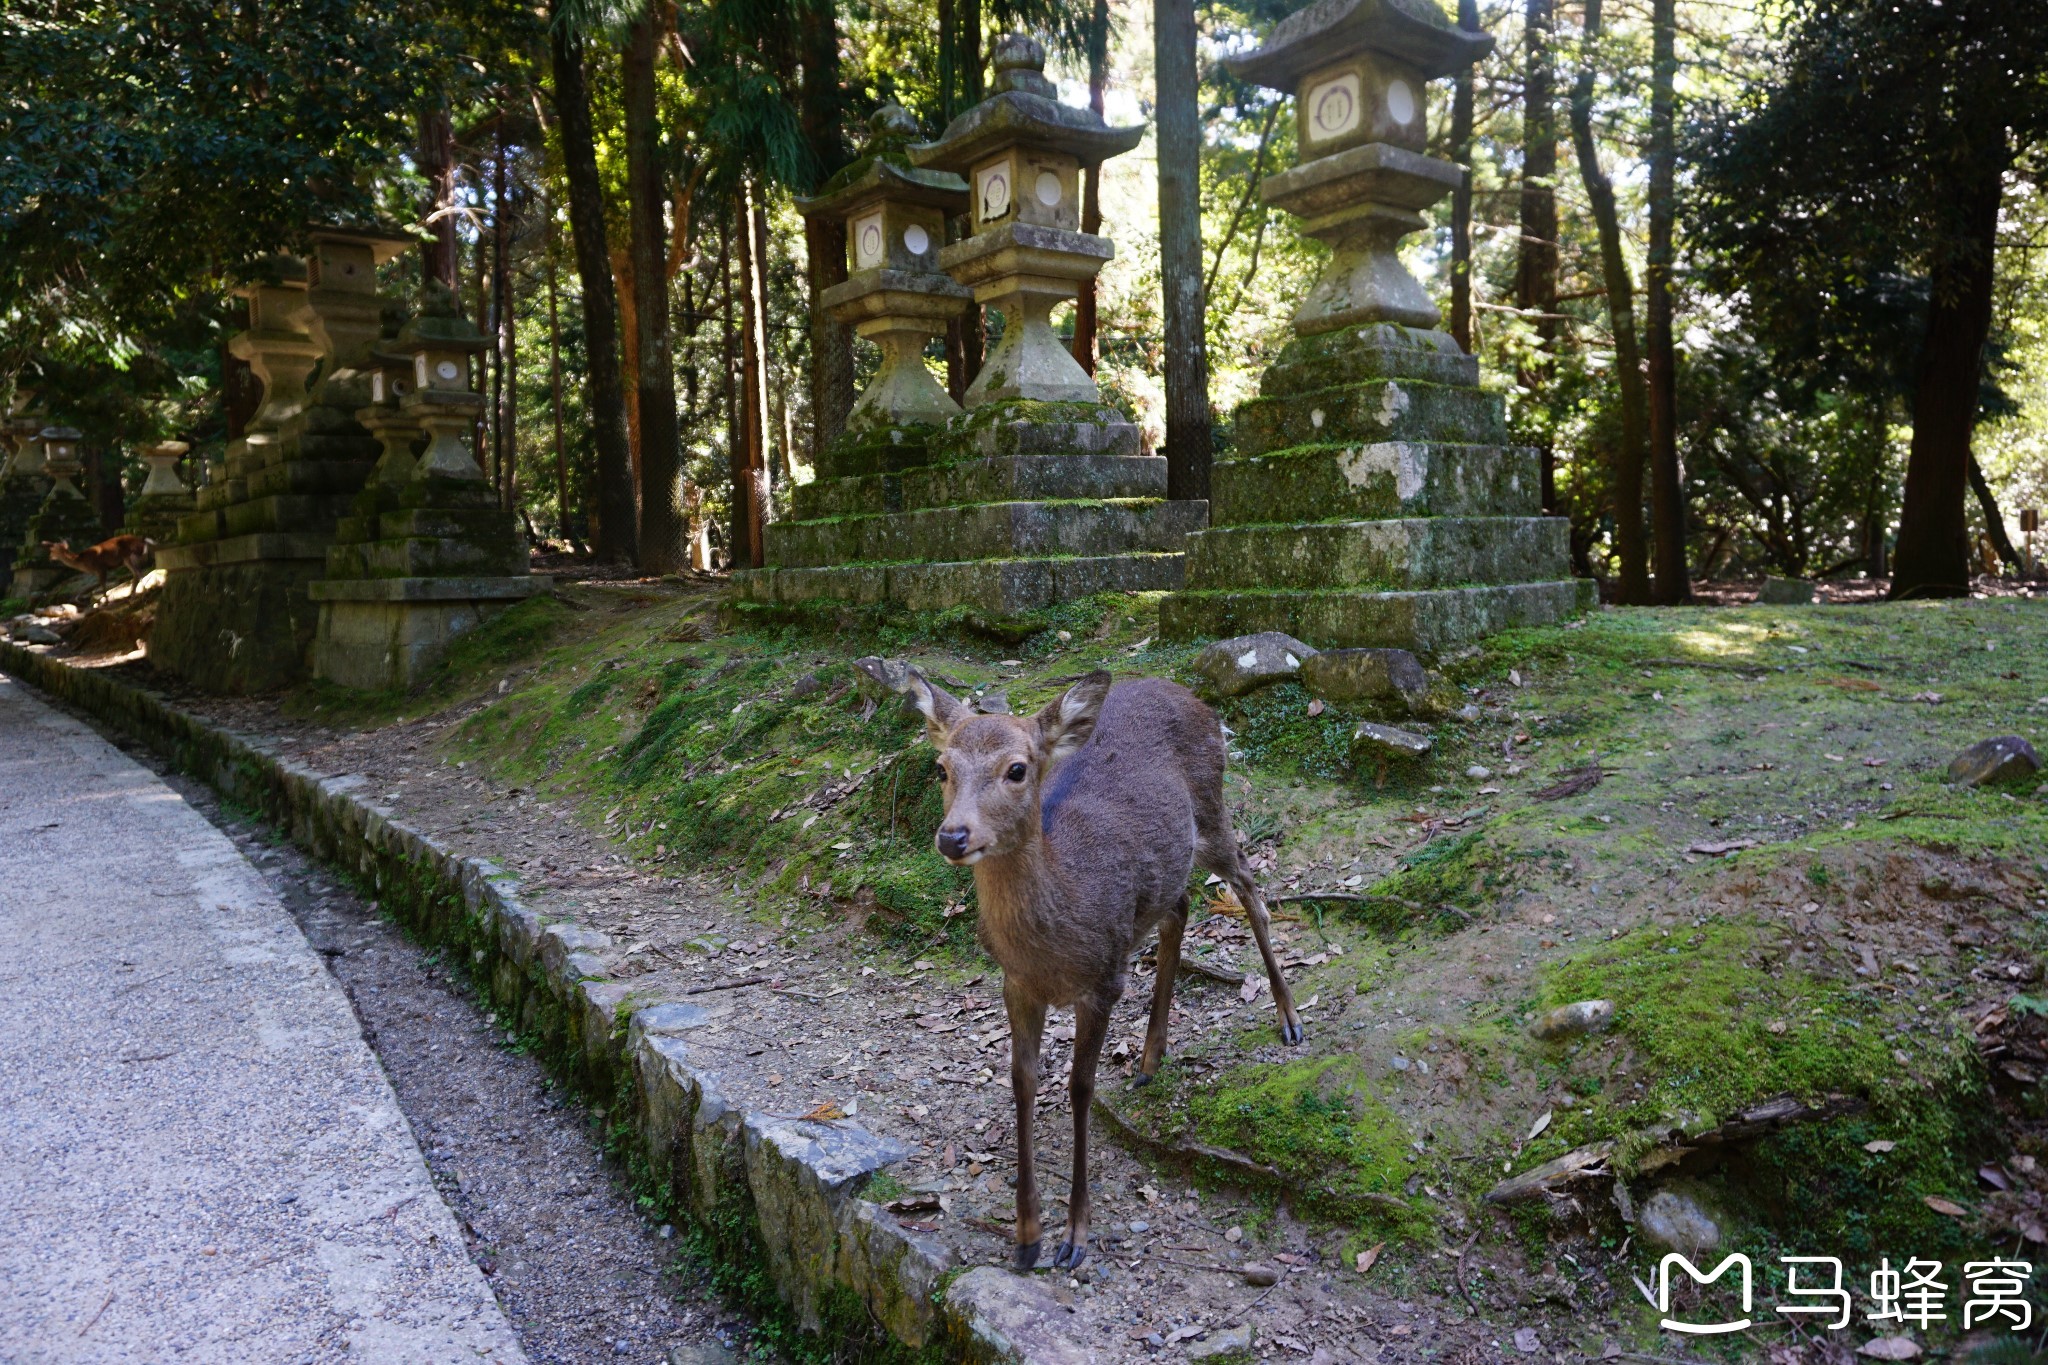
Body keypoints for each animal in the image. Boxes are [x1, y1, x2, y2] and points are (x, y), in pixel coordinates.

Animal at [897, 667, 1294, 1277]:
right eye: (942, 767)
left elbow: (1080, 1087)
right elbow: (1022, 1081)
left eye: (1017, 769)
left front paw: (1075, 1235)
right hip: (1167, 867)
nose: (953, 835)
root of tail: (1189, 694)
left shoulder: (1104, 980)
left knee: (1251, 890)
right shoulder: (1016, 986)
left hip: (1212, 805)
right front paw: (1026, 1237)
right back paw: (1151, 1058)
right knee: (1180, 906)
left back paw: (1288, 1016)